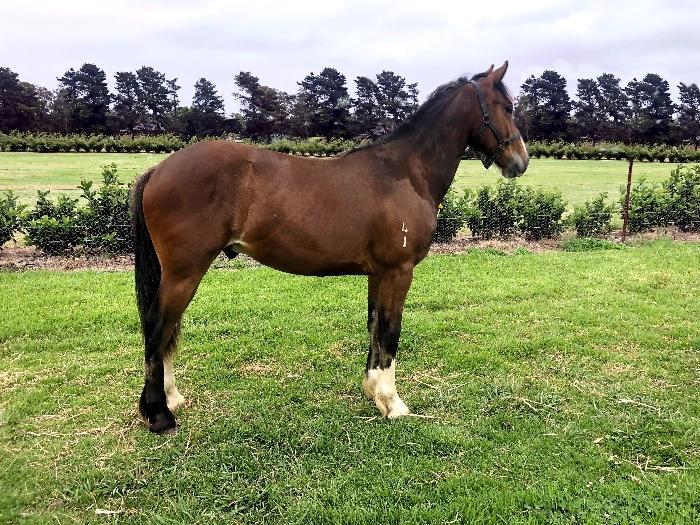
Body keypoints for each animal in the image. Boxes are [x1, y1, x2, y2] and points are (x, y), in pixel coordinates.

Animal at [130, 61, 528, 434]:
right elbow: (390, 332)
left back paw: (171, 398)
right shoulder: (398, 272)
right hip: (185, 271)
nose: (520, 162)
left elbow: (374, 327)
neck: (404, 172)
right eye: (507, 107)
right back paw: (159, 414)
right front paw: (393, 403)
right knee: (158, 325)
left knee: (164, 329)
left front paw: (374, 393)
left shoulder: (378, 274)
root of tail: (158, 170)